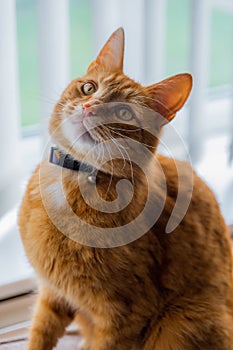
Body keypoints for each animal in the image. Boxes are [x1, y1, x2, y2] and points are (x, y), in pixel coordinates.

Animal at [18, 28, 233, 350]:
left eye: (124, 113)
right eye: (89, 88)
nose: (89, 107)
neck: (77, 175)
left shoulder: (125, 315)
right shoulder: (53, 293)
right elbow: (39, 336)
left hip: (181, 320)